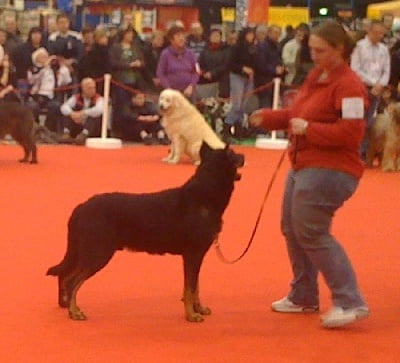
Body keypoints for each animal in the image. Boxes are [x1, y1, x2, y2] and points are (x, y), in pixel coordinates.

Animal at [47, 144, 247, 322]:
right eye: (232, 153)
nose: (244, 156)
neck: (204, 196)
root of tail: (81, 207)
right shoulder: (193, 254)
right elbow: (189, 289)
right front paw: (191, 315)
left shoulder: (196, 256)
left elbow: (195, 287)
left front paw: (199, 308)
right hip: (97, 254)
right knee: (72, 281)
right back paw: (74, 311)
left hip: (85, 252)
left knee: (64, 276)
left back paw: (66, 304)